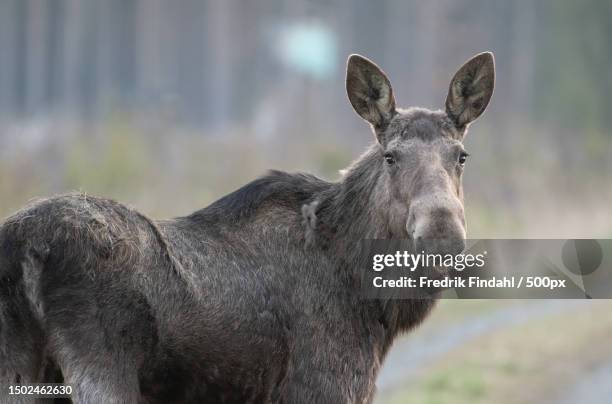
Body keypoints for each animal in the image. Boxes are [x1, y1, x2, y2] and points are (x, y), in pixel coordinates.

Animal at [0, 52, 494, 402]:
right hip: (100, 369)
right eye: (391, 157)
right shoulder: (325, 385)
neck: (375, 307)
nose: (441, 234)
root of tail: (24, 249)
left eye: (461, 156)